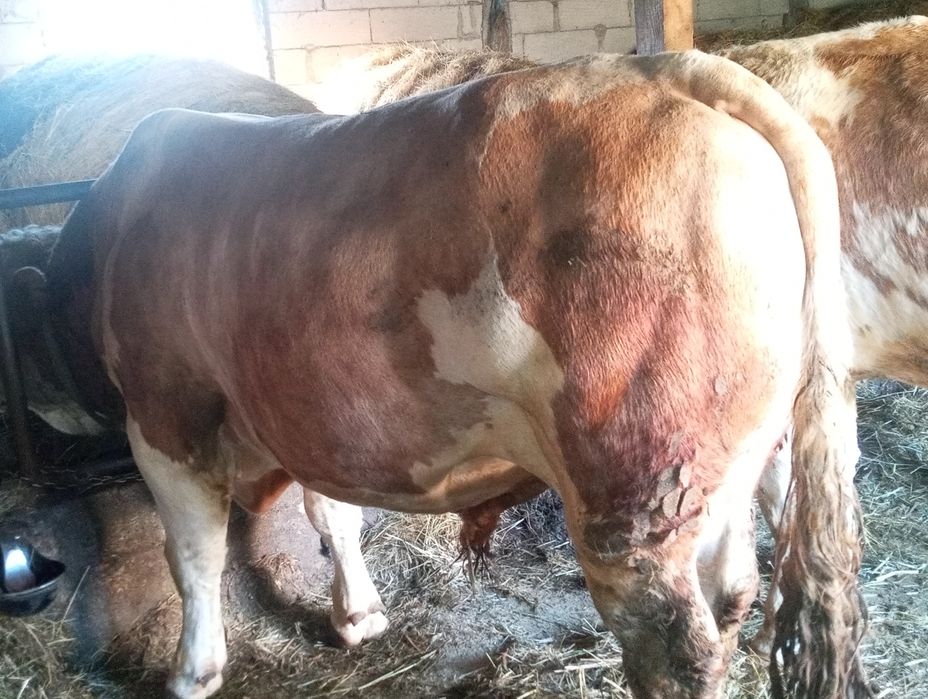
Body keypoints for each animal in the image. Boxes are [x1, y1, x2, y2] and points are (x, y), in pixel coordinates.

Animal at [42, 51, 866, 698]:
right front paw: (358, 615)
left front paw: (195, 670)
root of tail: (674, 69)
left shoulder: (163, 411)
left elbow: (194, 553)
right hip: (739, 460)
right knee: (737, 588)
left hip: (635, 492)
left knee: (676, 645)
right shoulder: (309, 408)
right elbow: (332, 512)